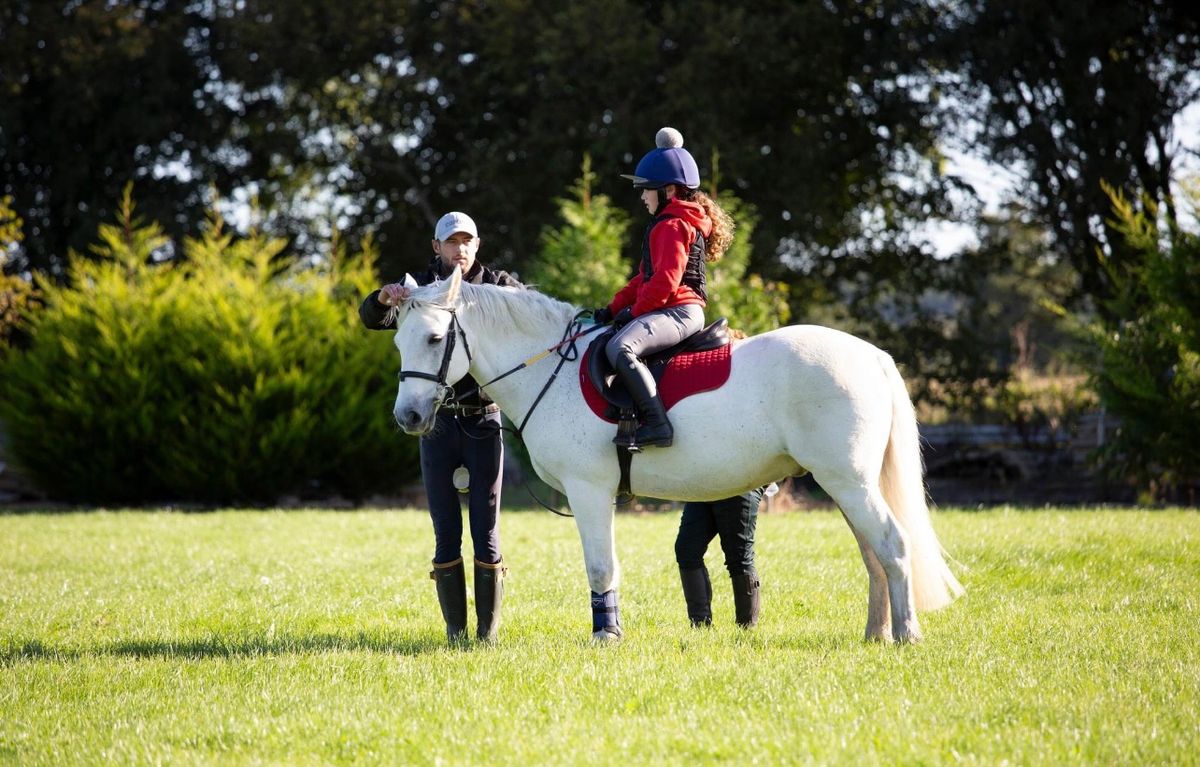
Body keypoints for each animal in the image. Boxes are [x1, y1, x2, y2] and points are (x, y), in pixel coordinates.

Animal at [388, 270, 960, 643]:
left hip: (849, 482)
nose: (408, 417)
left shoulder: (590, 491)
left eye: (435, 338)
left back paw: (906, 634)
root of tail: (872, 355)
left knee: (892, 545)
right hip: (846, 485)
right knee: (873, 553)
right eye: (398, 341)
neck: (551, 369)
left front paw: (606, 635)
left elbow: (601, 566)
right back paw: (875, 633)